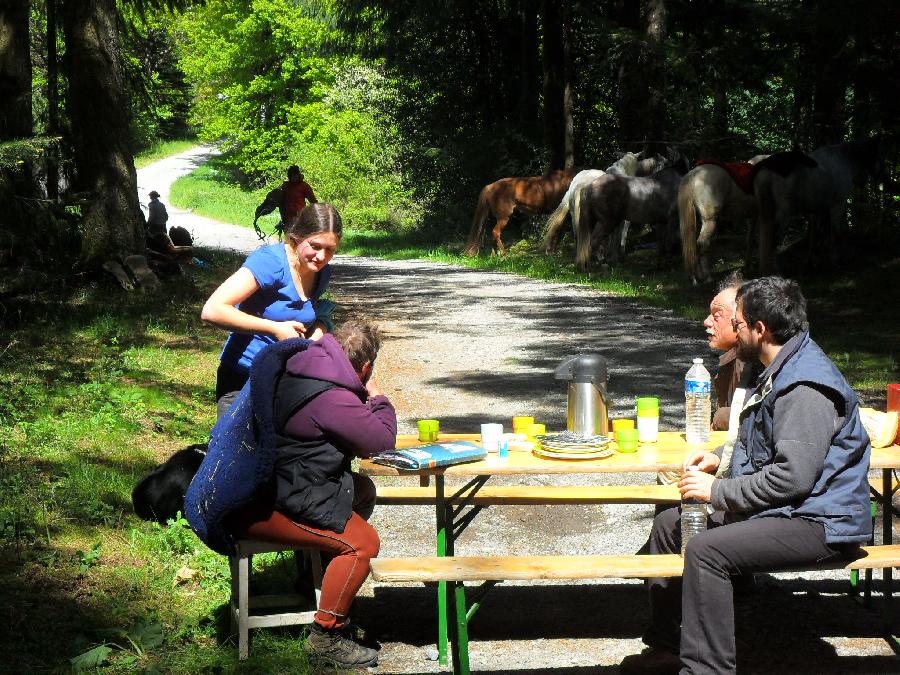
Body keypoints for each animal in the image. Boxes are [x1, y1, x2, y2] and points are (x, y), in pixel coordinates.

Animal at [752, 136, 884, 274]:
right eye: (880, 154)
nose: (882, 176)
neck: (843, 160)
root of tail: (769, 167)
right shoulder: (837, 206)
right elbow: (834, 232)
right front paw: (833, 261)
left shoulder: (819, 210)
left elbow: (817, 234)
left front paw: (812, 263)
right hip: (784, 213)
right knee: (774, 239)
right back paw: (774, 270)